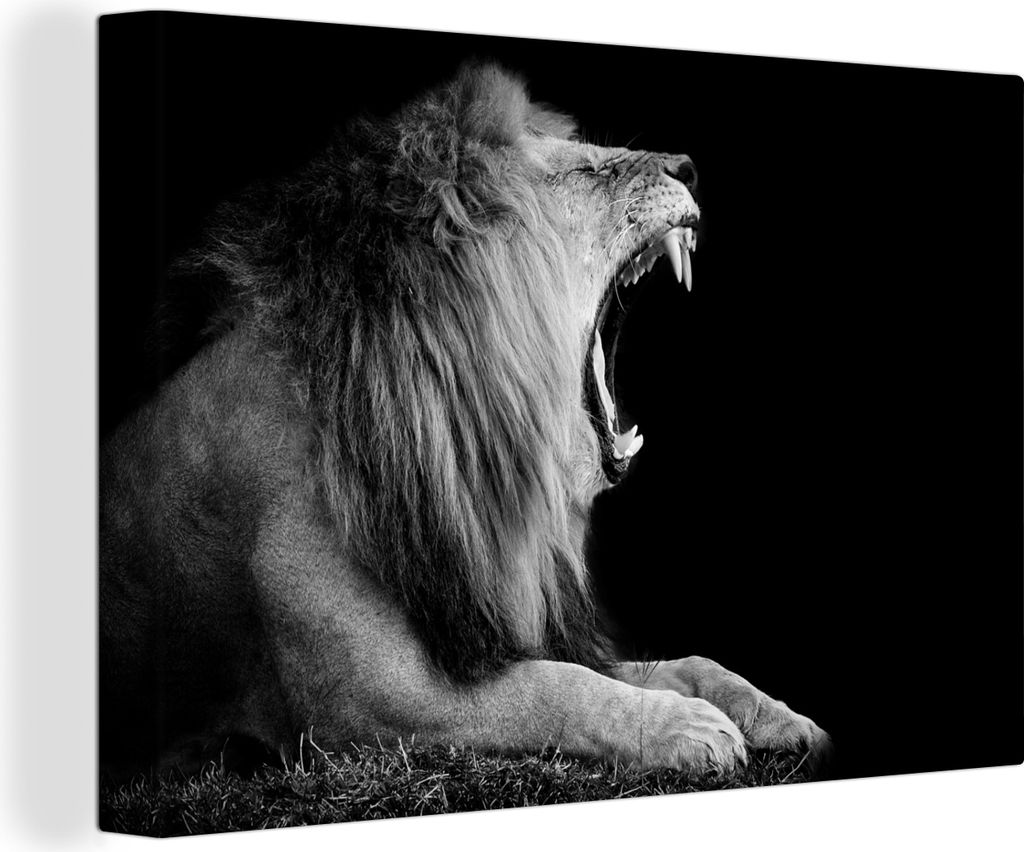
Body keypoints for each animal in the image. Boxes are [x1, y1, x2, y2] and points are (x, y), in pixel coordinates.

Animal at [100, 63, 830, 779]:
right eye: (583, 170)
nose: (688, 167)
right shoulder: (361, 705)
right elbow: (555, 689)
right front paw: (684, 727)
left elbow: (680, 662)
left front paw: (776, 714)